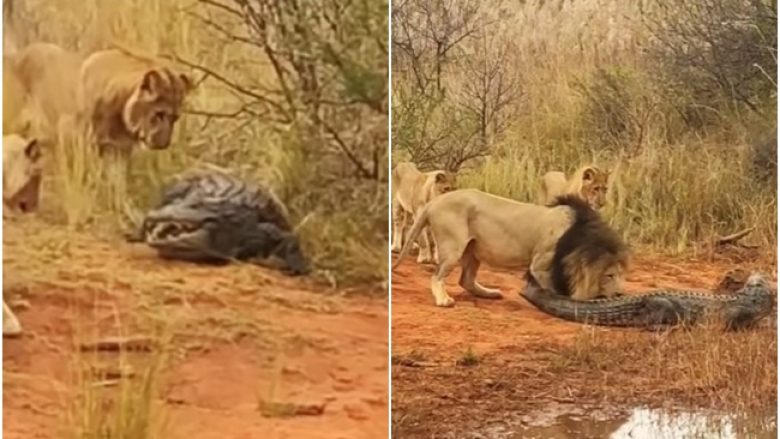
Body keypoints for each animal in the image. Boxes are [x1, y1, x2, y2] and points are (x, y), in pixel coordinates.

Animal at [394, 187, 632, 308]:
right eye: (610, 275)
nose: (620, 293)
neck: (580, 235)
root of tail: (433, 203)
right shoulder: (540, 265)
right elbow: (554, 288)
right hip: (453, 246)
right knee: (437, 276)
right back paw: (443, 300)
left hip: (473, 249)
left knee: (466, 280)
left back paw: (489, 293)